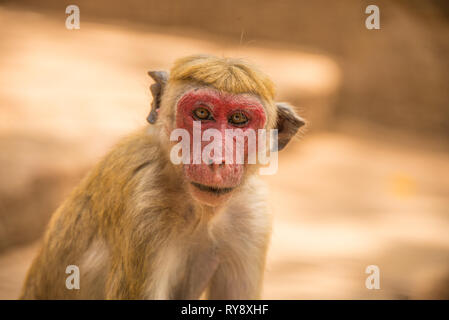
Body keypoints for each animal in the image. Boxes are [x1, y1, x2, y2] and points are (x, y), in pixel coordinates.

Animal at [18, 55, 304, 300]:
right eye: (202, 114)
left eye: (238, 118)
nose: (216, 158)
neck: (198, 209)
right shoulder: (145, 208)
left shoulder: (253, 216)